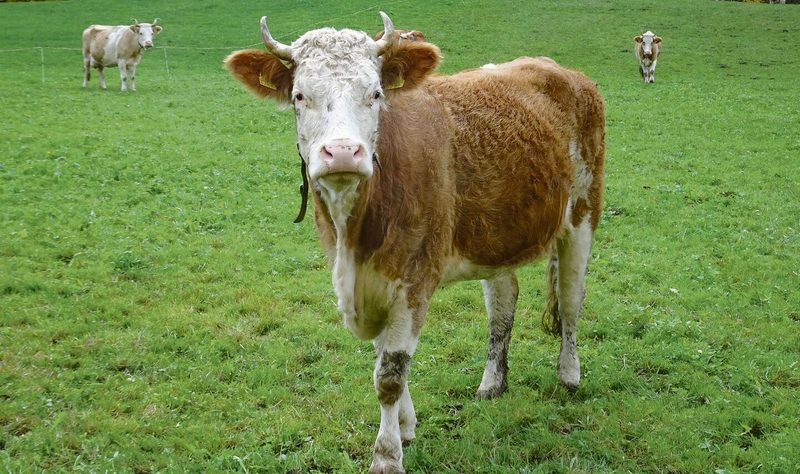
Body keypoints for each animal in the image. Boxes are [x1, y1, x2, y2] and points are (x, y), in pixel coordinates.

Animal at [225, 12, 604, 474]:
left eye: (375, 93)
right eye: (300, 95)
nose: (343, 152)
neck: (355, 237)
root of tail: (563, 71)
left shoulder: (413, 280)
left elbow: (389, 374)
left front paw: (387, 456)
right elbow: (384, 357)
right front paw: (406, 426)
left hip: (584, 211)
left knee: (570, 299)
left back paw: (569, 374)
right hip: (496, 233)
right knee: (503, 302)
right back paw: (492, 382)